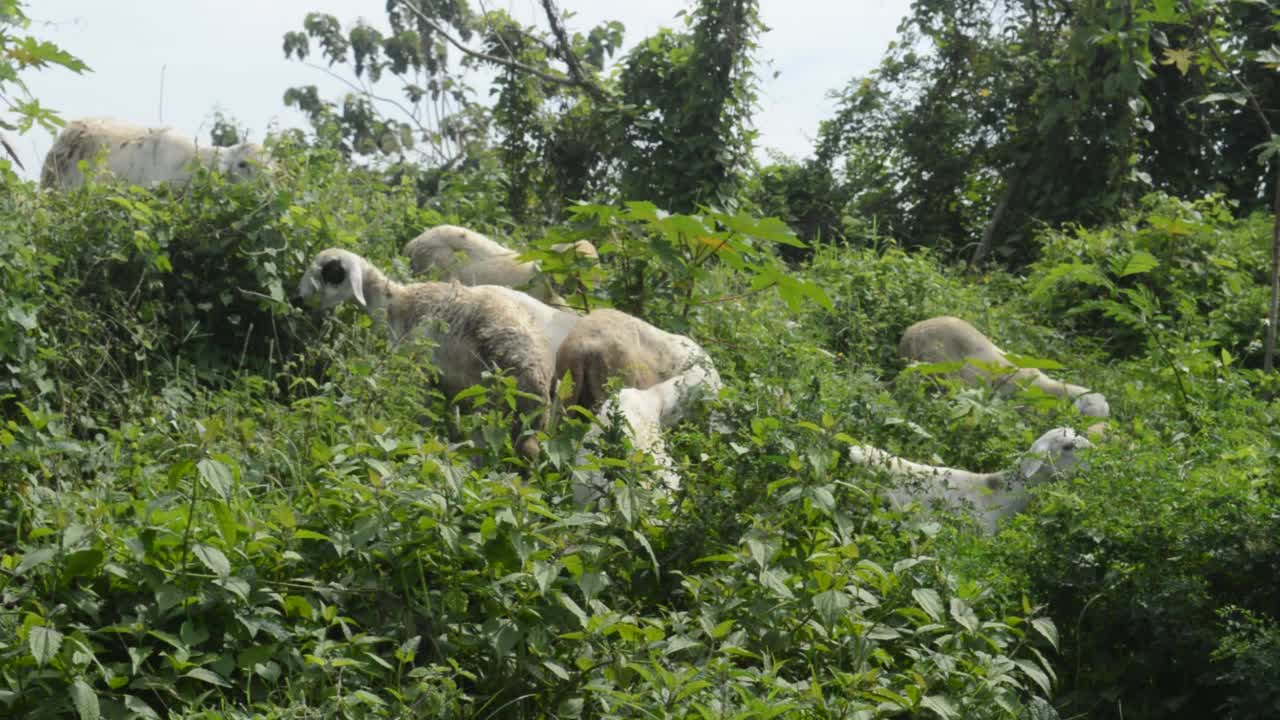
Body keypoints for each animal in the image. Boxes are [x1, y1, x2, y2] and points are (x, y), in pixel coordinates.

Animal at [296, 249, 552, 456]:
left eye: (331, 271)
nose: (296, 299)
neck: (394, 304)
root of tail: (537, 381)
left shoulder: (421, 374)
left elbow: (423, 418)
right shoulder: (450, 389)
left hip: (490, 405)